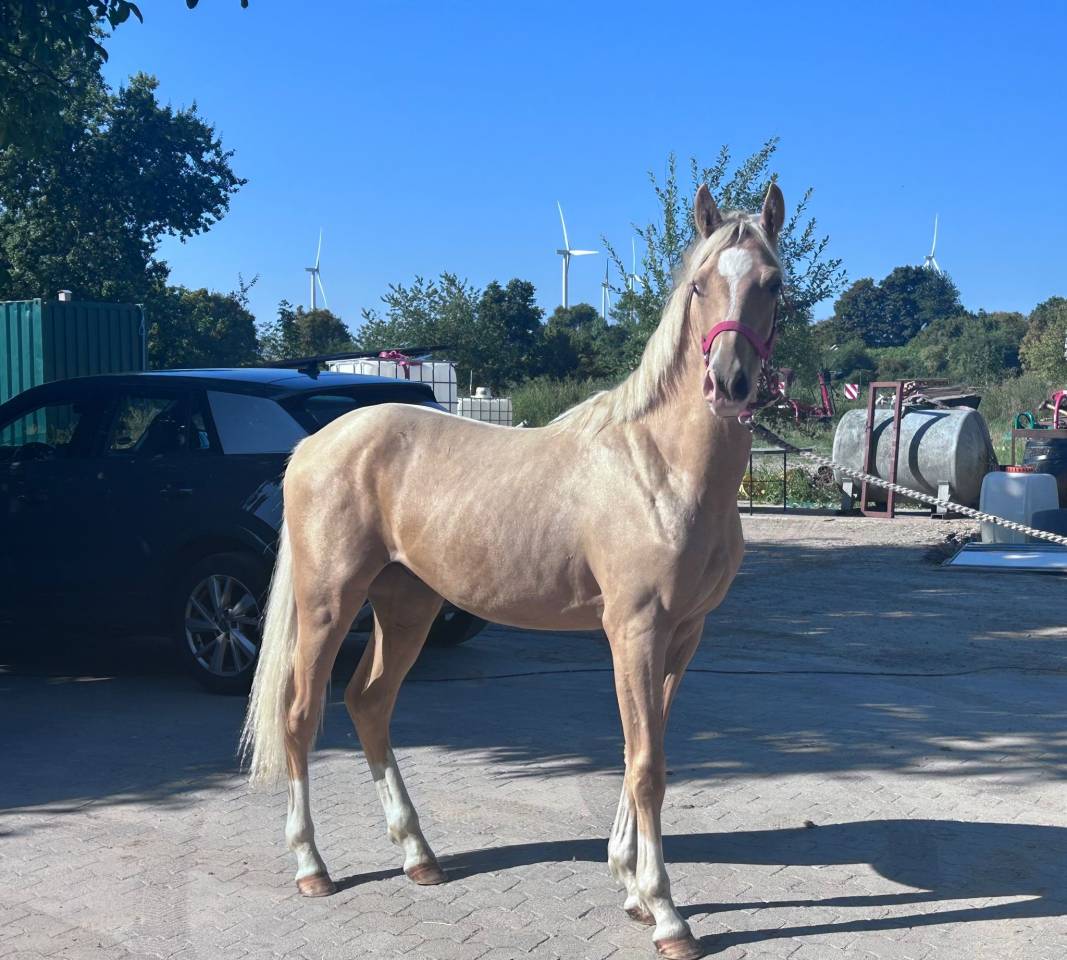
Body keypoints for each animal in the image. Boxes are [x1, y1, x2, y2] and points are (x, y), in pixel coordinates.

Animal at [241, 182, 786, 960]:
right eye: (700, 284)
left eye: (772, 284)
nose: (728, 384)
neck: (662, 467)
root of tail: (315, 443)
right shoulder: (634, 631)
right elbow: (646, 765)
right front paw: (665, 911)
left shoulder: (683, 635)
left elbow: (641, 750)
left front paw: (628, 886)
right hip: (327, 602)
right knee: (300, 714)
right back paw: (312, 866)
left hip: (405, 607)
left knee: (369, 704)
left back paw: (419, 856)